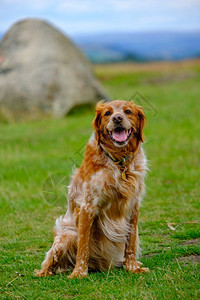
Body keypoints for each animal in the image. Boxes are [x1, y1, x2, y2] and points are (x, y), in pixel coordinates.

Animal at [35, 99, 148, 278]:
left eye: (128, 111)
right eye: (108, 113)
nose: (117, 118)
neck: (119, 164)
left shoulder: (133, 206)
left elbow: (130, 243)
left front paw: (133, 267)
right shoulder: (88, 207)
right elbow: (83, 246)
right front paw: (79, 273)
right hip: (66, 236)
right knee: (48, 264)